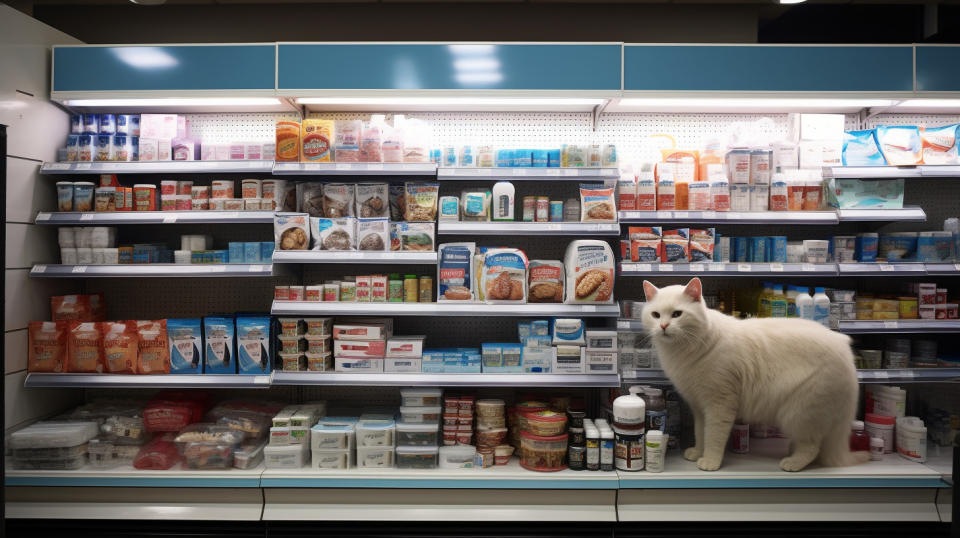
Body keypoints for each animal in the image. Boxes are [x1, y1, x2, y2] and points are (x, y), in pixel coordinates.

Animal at [636, 276, 872, 468]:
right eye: (656, 315)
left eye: (677, 314)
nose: (663, 326)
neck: (684, 350)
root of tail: (845, 350)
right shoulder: (699, 407)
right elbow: (700, 434)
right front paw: (697, 453)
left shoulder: (719, 405)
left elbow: (713, 437)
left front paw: (710, 461)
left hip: (799, 413)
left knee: (811, 447)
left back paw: (792, 463)